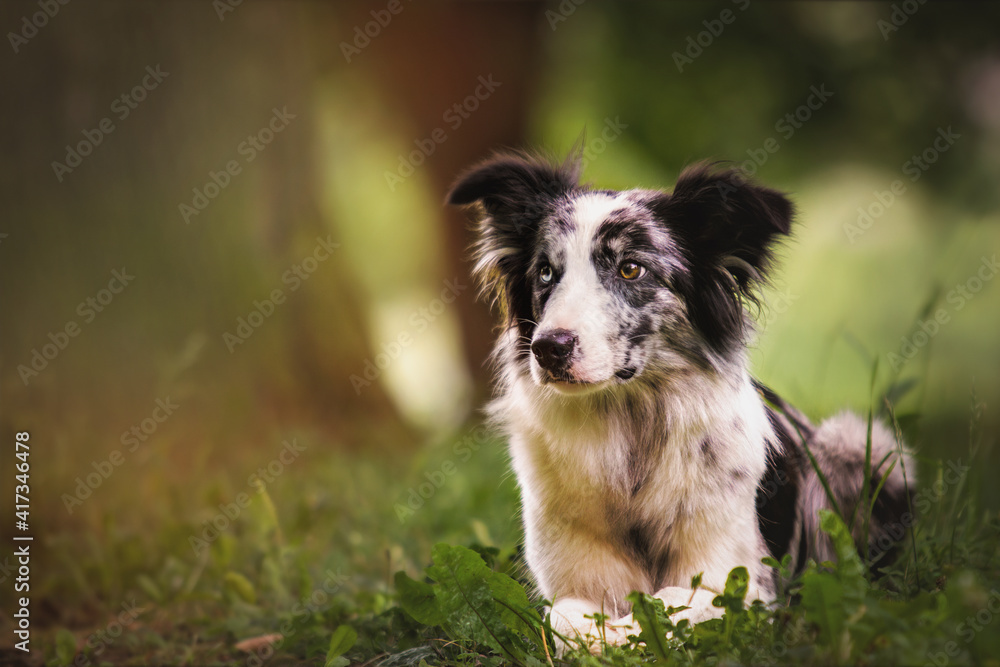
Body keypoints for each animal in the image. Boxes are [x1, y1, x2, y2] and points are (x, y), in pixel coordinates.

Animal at [446, 151, 916, 652]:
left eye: (631, 268)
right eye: (546, 272)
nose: (548, 348)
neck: (630, 429)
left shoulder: (742, 584)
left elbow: (666, 604)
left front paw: (631, 634)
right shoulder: (572, 583)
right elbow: (568, 619)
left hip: (858, 444)